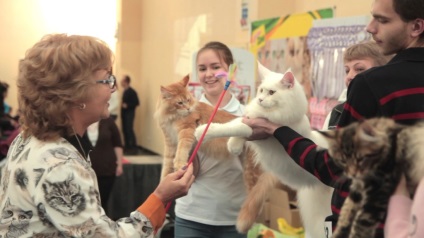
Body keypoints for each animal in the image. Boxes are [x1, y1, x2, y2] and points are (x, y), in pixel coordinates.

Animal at [196, 63, 334, 238]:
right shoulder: (250, 119)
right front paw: (234, 146)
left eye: (272, 92)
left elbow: (231, 128)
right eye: (261, 90)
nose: (260, 99)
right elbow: (236, 125)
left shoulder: (254, 128)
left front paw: (202, 132)